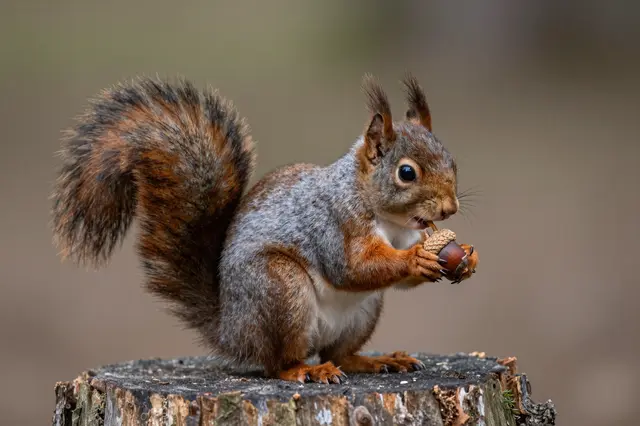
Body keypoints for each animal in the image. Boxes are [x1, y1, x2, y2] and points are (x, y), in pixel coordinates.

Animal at [51, 73, 474, 384]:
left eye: (452, 160)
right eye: (407, 173)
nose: (450, 208)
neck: (388, 219)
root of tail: (231, 332)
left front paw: (465, 258)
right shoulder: (333, 224)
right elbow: (352, 268)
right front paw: (416, 259)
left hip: (362, 312)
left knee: (339, 353)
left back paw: (373, 360)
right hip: (278, 289)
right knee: (278, 364)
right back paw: (305, 370)